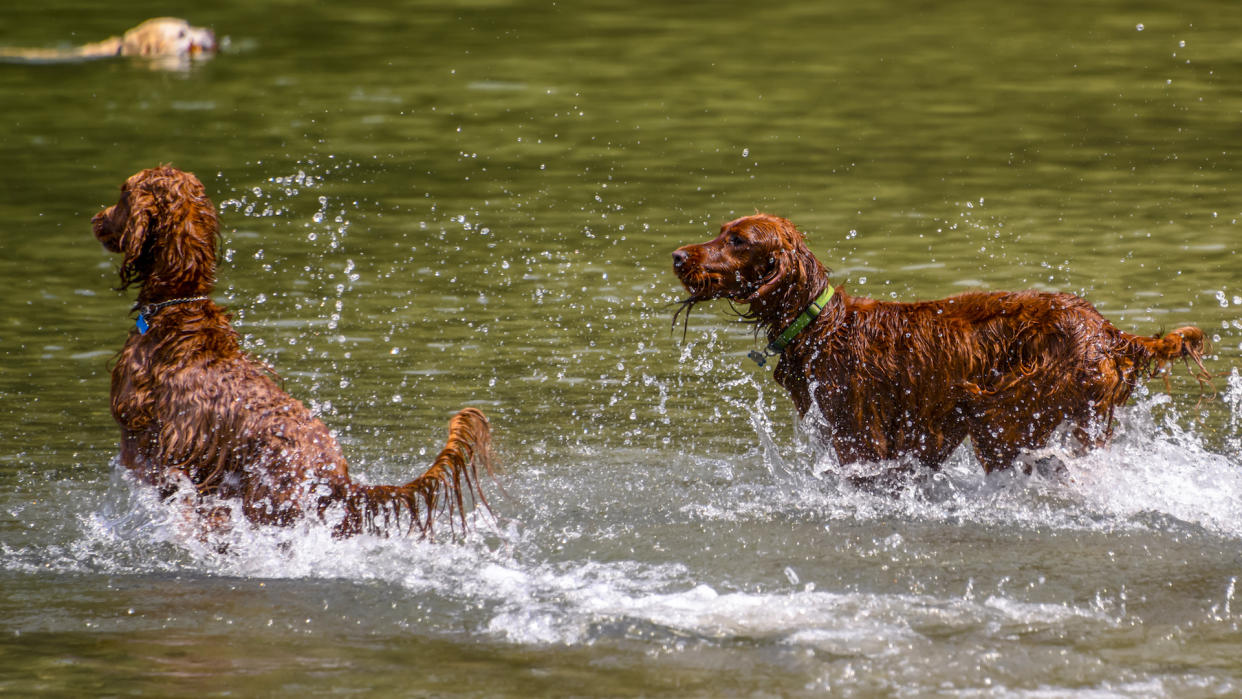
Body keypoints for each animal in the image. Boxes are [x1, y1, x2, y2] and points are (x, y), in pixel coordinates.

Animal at [94, 166, 491, 538]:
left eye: (124, 194)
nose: (97, 218)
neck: (178, 307)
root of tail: (339, 478)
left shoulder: (140, 439)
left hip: (270, 505)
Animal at [675, 211, 1207, 479]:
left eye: (739, 241)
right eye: (721, 232)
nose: (678, 256)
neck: (822, 324)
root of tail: (1108, 331)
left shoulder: (861, 440)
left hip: (1002, 412)